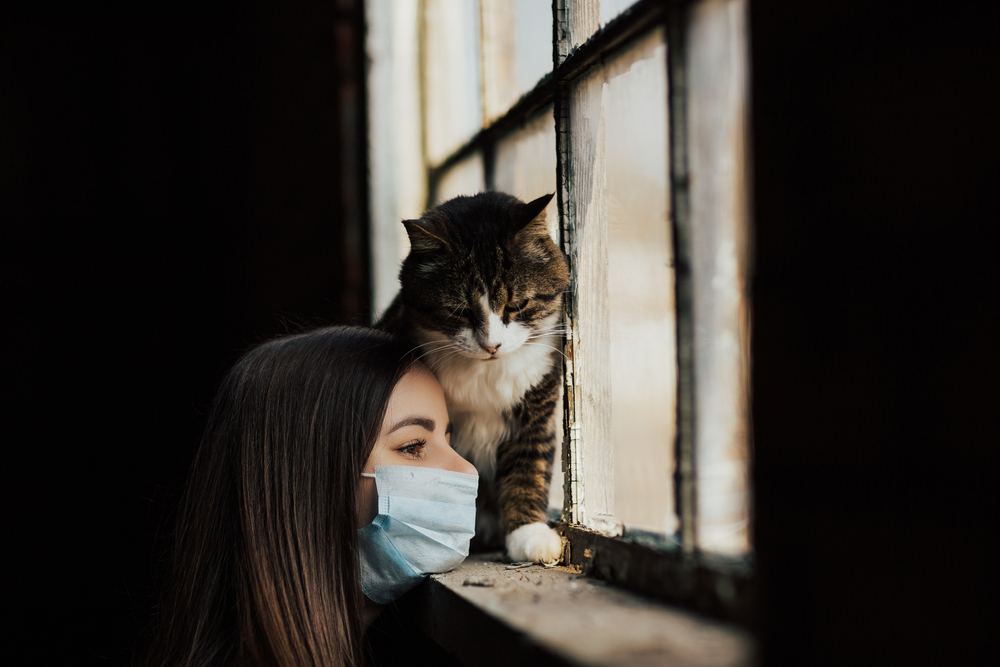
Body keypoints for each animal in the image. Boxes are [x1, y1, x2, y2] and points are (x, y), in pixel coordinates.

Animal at [374, 192, 572, 564]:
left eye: (517, 305)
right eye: (459, 311)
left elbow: (528, 468)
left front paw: (529, 534)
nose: (492, 345)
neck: (485, 374)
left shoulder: (536, 410)